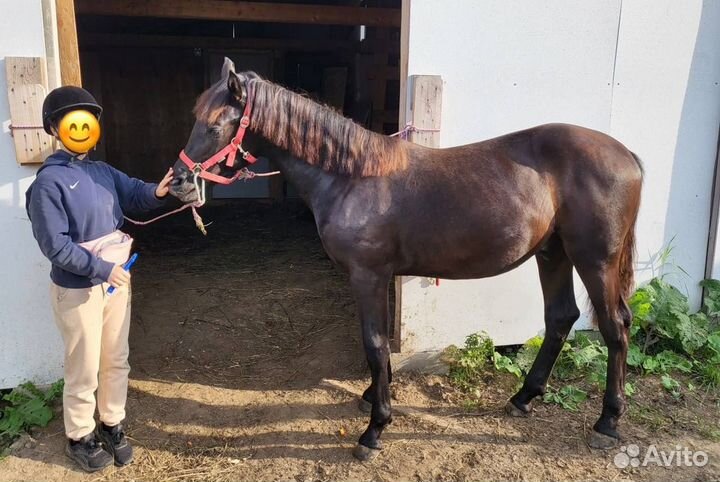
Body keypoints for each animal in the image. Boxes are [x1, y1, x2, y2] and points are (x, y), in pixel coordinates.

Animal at [170, 58, 643, 461]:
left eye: (215, 125)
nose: (178, 182)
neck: (351, 177)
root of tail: (627, 155)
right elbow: (377, 347)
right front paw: (372, 398)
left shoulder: (368, 276)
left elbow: (375, 344)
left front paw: (375, 428)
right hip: (553, 252)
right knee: (561, 317)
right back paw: (523, 398)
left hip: (595, 260)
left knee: (615, 326)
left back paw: (607, 422)